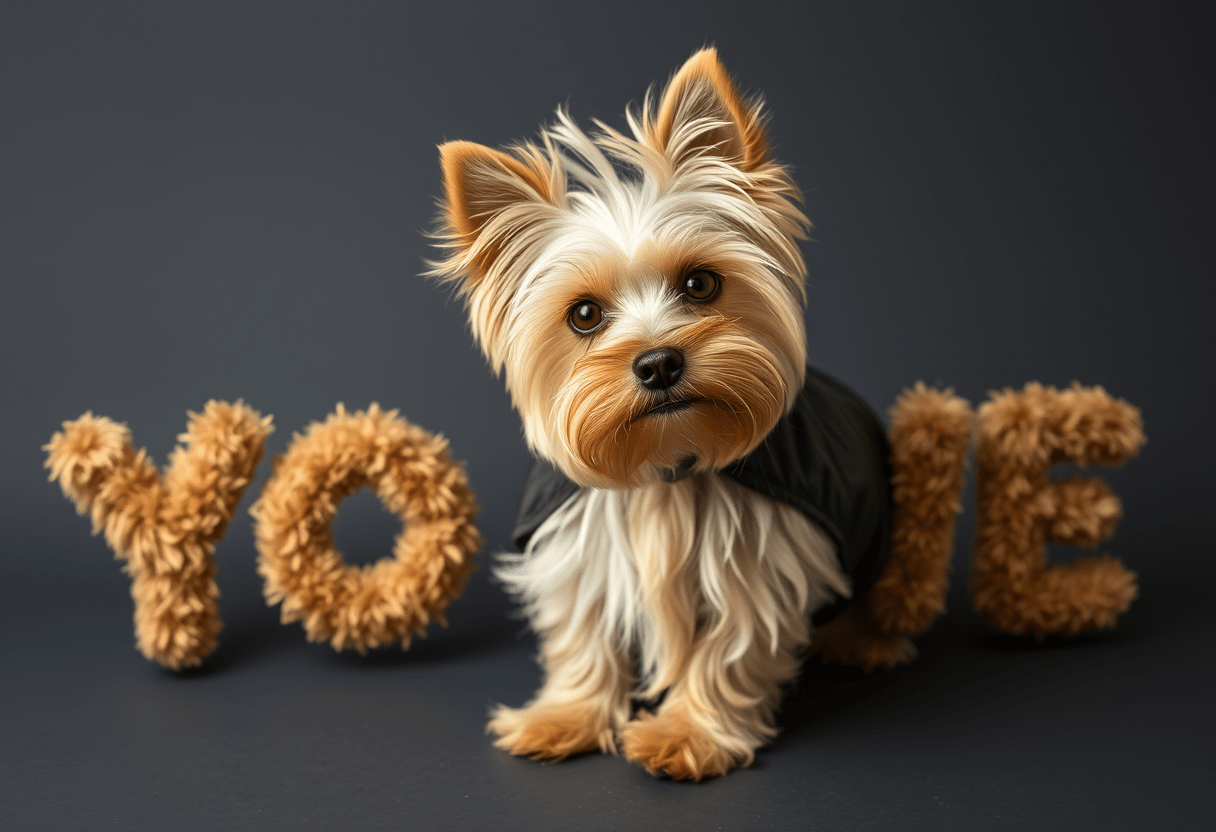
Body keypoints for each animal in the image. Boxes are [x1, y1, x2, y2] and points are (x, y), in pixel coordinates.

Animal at [430, 48, 958, 778]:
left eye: (700, 283)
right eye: (584, 315)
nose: (657, 363)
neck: (667, 468)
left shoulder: (760, 562)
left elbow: (729, 648)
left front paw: (689, 736)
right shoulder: (577, 551)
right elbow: (582, 632)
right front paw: (564, 717)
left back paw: (866, 641)